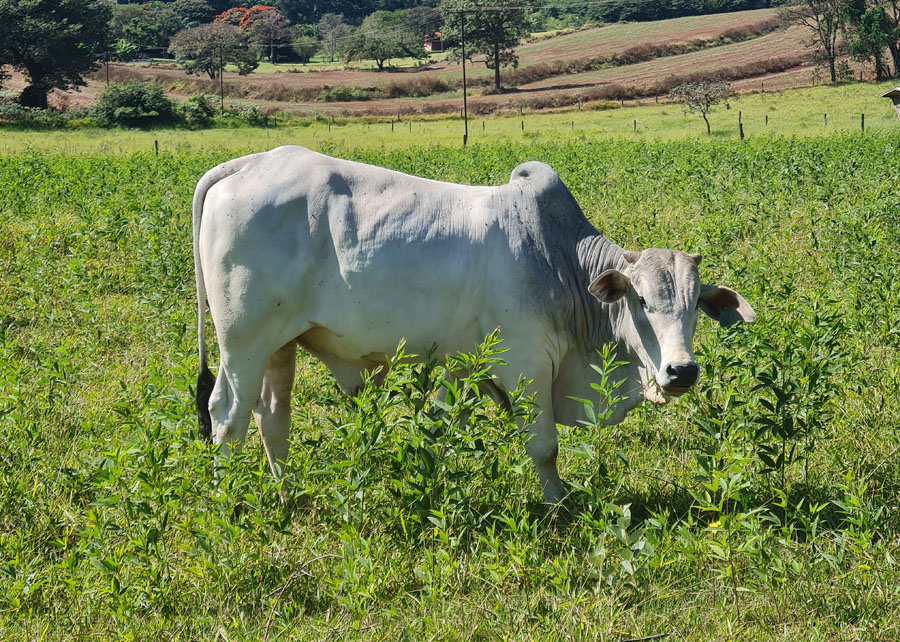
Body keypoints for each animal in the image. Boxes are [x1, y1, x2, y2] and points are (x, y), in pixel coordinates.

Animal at [193, 148, 756, 502]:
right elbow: (545, 447)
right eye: (640, 300)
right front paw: (560, 505)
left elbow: (447, 431)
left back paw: (285, 494)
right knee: (227, 417)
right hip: (242, 343)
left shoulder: (462, 368)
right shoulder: (527, 366)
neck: (559, 261)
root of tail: (246, 164)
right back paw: (227, 499)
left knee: (272, 418)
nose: (681, 371)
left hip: (280, 343)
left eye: (693, 305)